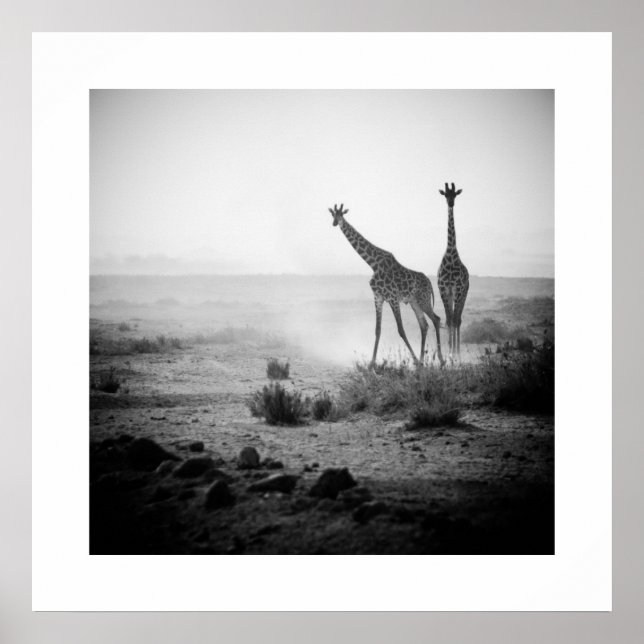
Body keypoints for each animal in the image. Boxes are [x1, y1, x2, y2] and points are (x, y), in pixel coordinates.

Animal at [328, 204, 444, 366]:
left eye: (341, 215)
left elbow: (401, 330)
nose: (335, 223)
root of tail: (430, 283)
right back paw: (422, 361)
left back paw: (440, 360)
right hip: (414, 302)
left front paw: (414, 360)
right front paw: (372, 363)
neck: (373, 264)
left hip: (423, 299)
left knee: (436, 320)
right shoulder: (378, 297)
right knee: (424, 325)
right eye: (333, 215)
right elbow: (378, 329)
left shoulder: (393, 298)